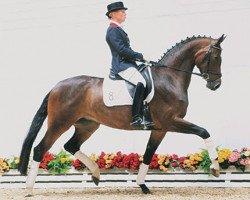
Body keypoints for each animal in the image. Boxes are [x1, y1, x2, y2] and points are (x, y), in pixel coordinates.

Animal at [18, 34, 226, 194]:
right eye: (216, 57)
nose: (216, 85)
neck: (170, 78)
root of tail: (56, 87)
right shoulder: (171, 121)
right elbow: (204, 132)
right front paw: (215, 168)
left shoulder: (160, 129)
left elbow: (148, 154)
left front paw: (142, 186)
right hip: (60, 123)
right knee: (40, 149)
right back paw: (28, 189)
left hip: (87, 125)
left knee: (71, 145)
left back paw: (96, 174)